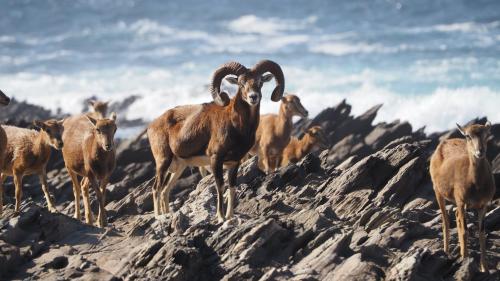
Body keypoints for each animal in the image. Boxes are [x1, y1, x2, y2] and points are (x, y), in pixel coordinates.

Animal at [430, 121, 496, 270]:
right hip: (438, 191)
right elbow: (465, 230)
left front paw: (484, 268)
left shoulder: (483, 205)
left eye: (486, 134)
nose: (480, 152)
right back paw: (447, 252)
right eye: (468, 136)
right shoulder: (461, 201)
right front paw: (465, 259)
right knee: (446, 221)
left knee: (456, 217)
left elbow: (481, 233)